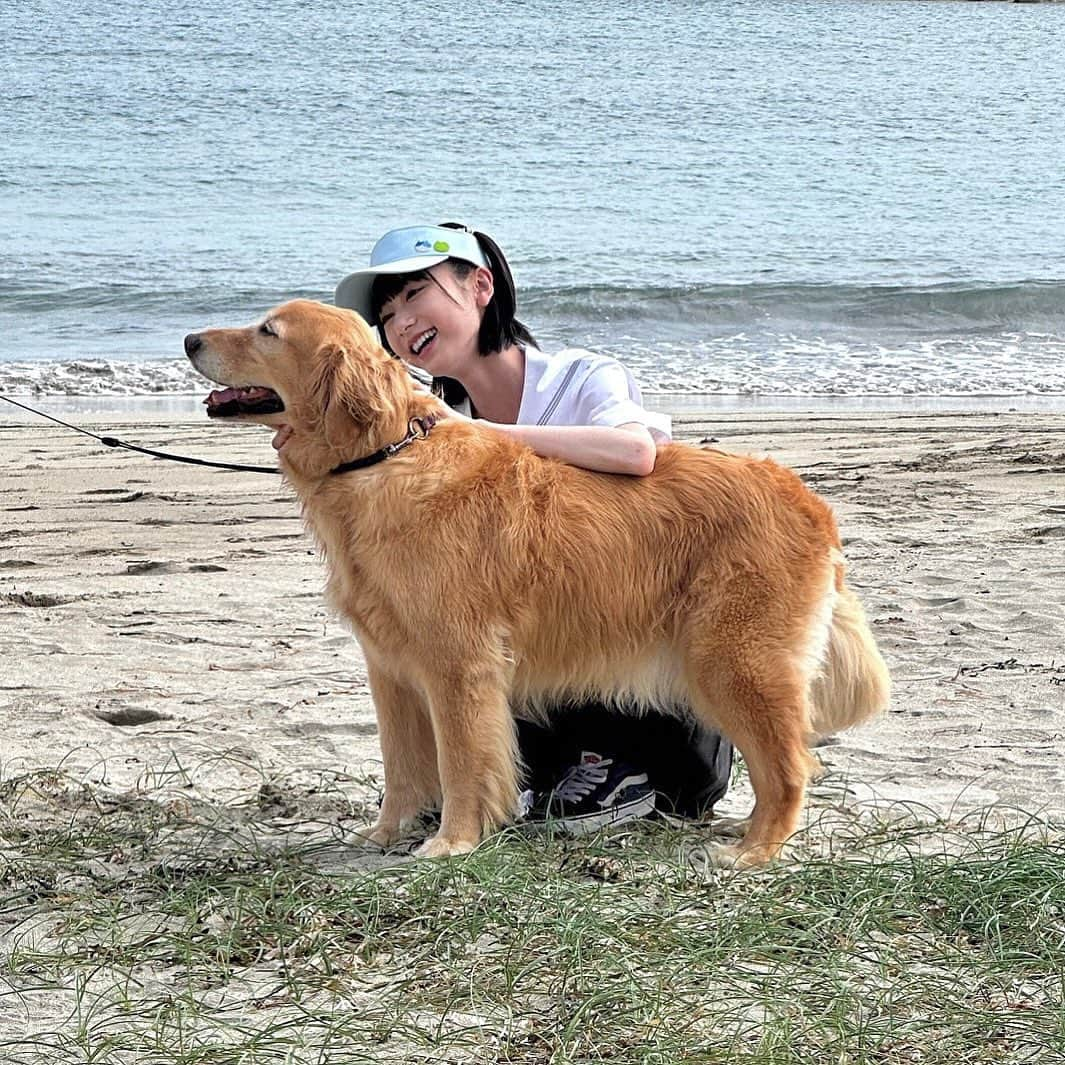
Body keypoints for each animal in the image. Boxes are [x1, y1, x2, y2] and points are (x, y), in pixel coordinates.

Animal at [185, 298, 890, 864]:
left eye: (268, 330)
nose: (189, 340)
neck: (381, 457)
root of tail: (807, 501)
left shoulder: (458, 664)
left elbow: (461, 762)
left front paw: (452, 842)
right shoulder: (390, 669)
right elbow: (402, 768)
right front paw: (386, 834)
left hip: (733, 661)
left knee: (790, 765)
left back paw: (755, 850)